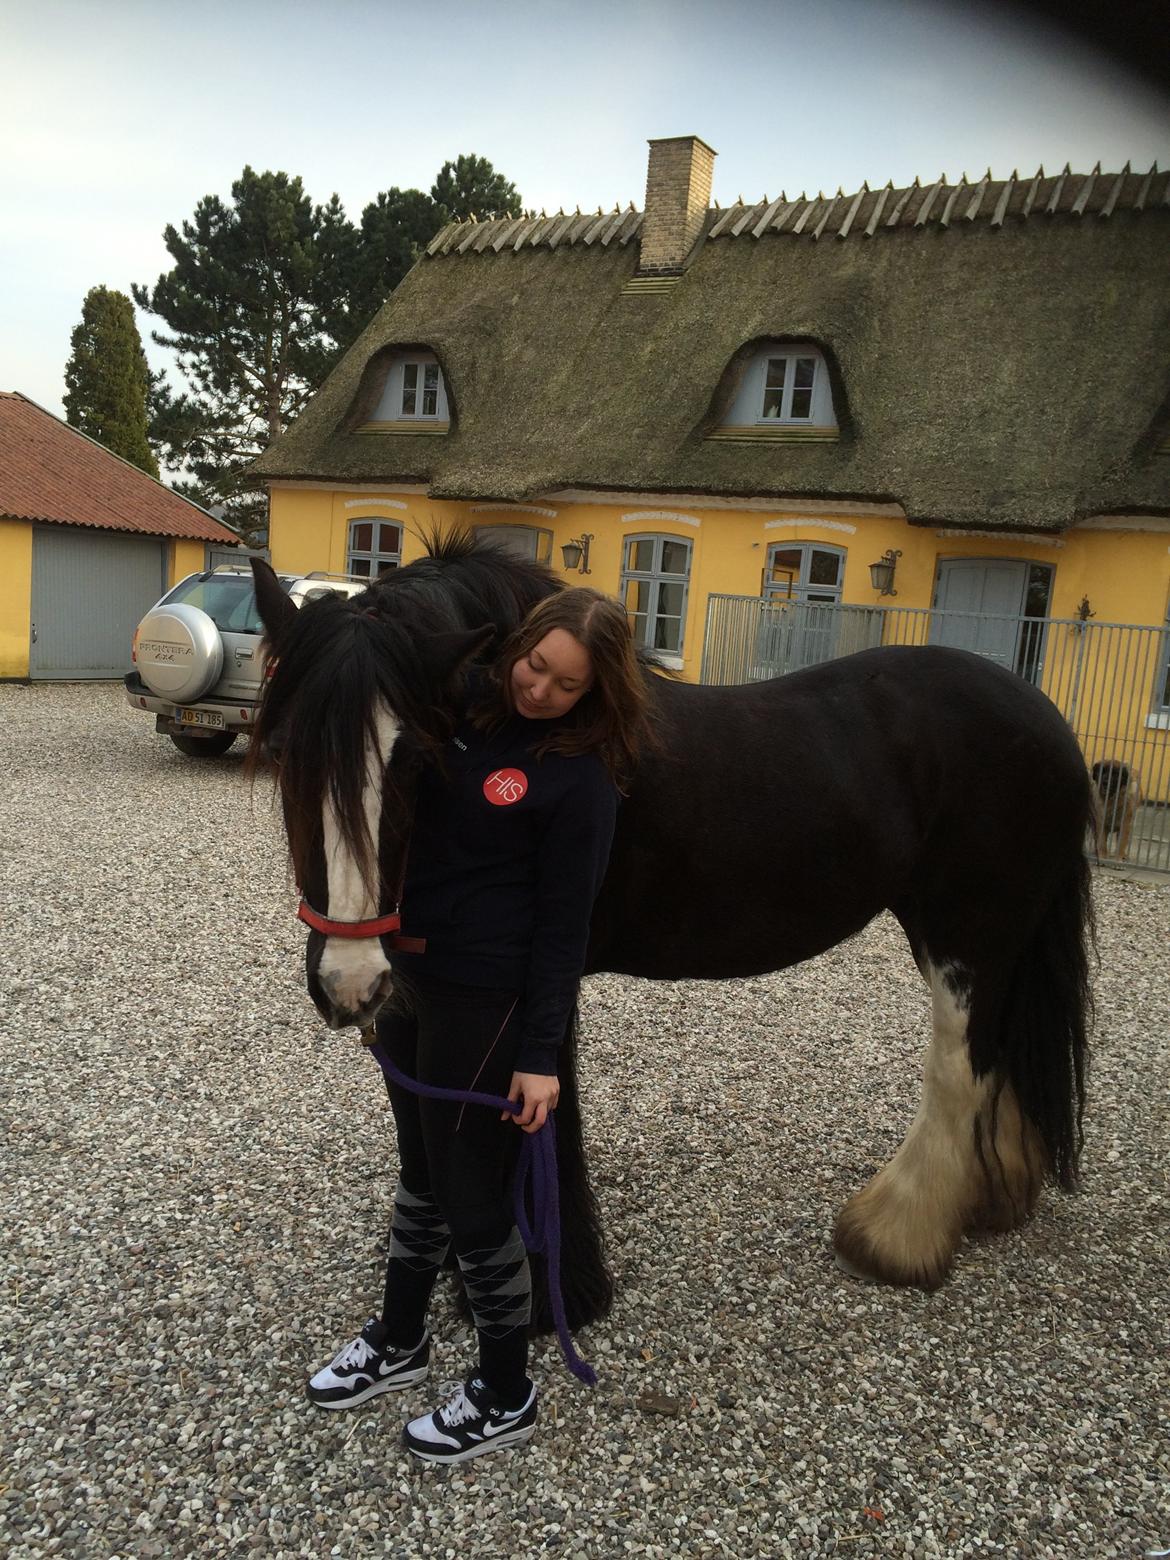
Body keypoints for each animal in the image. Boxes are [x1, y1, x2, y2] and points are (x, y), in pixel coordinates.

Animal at [249, 530, 1098, 1310]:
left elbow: (530, 1120)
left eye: (417, 758)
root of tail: (1050, 722)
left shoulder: (532, 985)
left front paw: (557, 1297)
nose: (350, 985)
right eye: (287, 749)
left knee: (961, 1063)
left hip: (968, 933)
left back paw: (896, 1235)